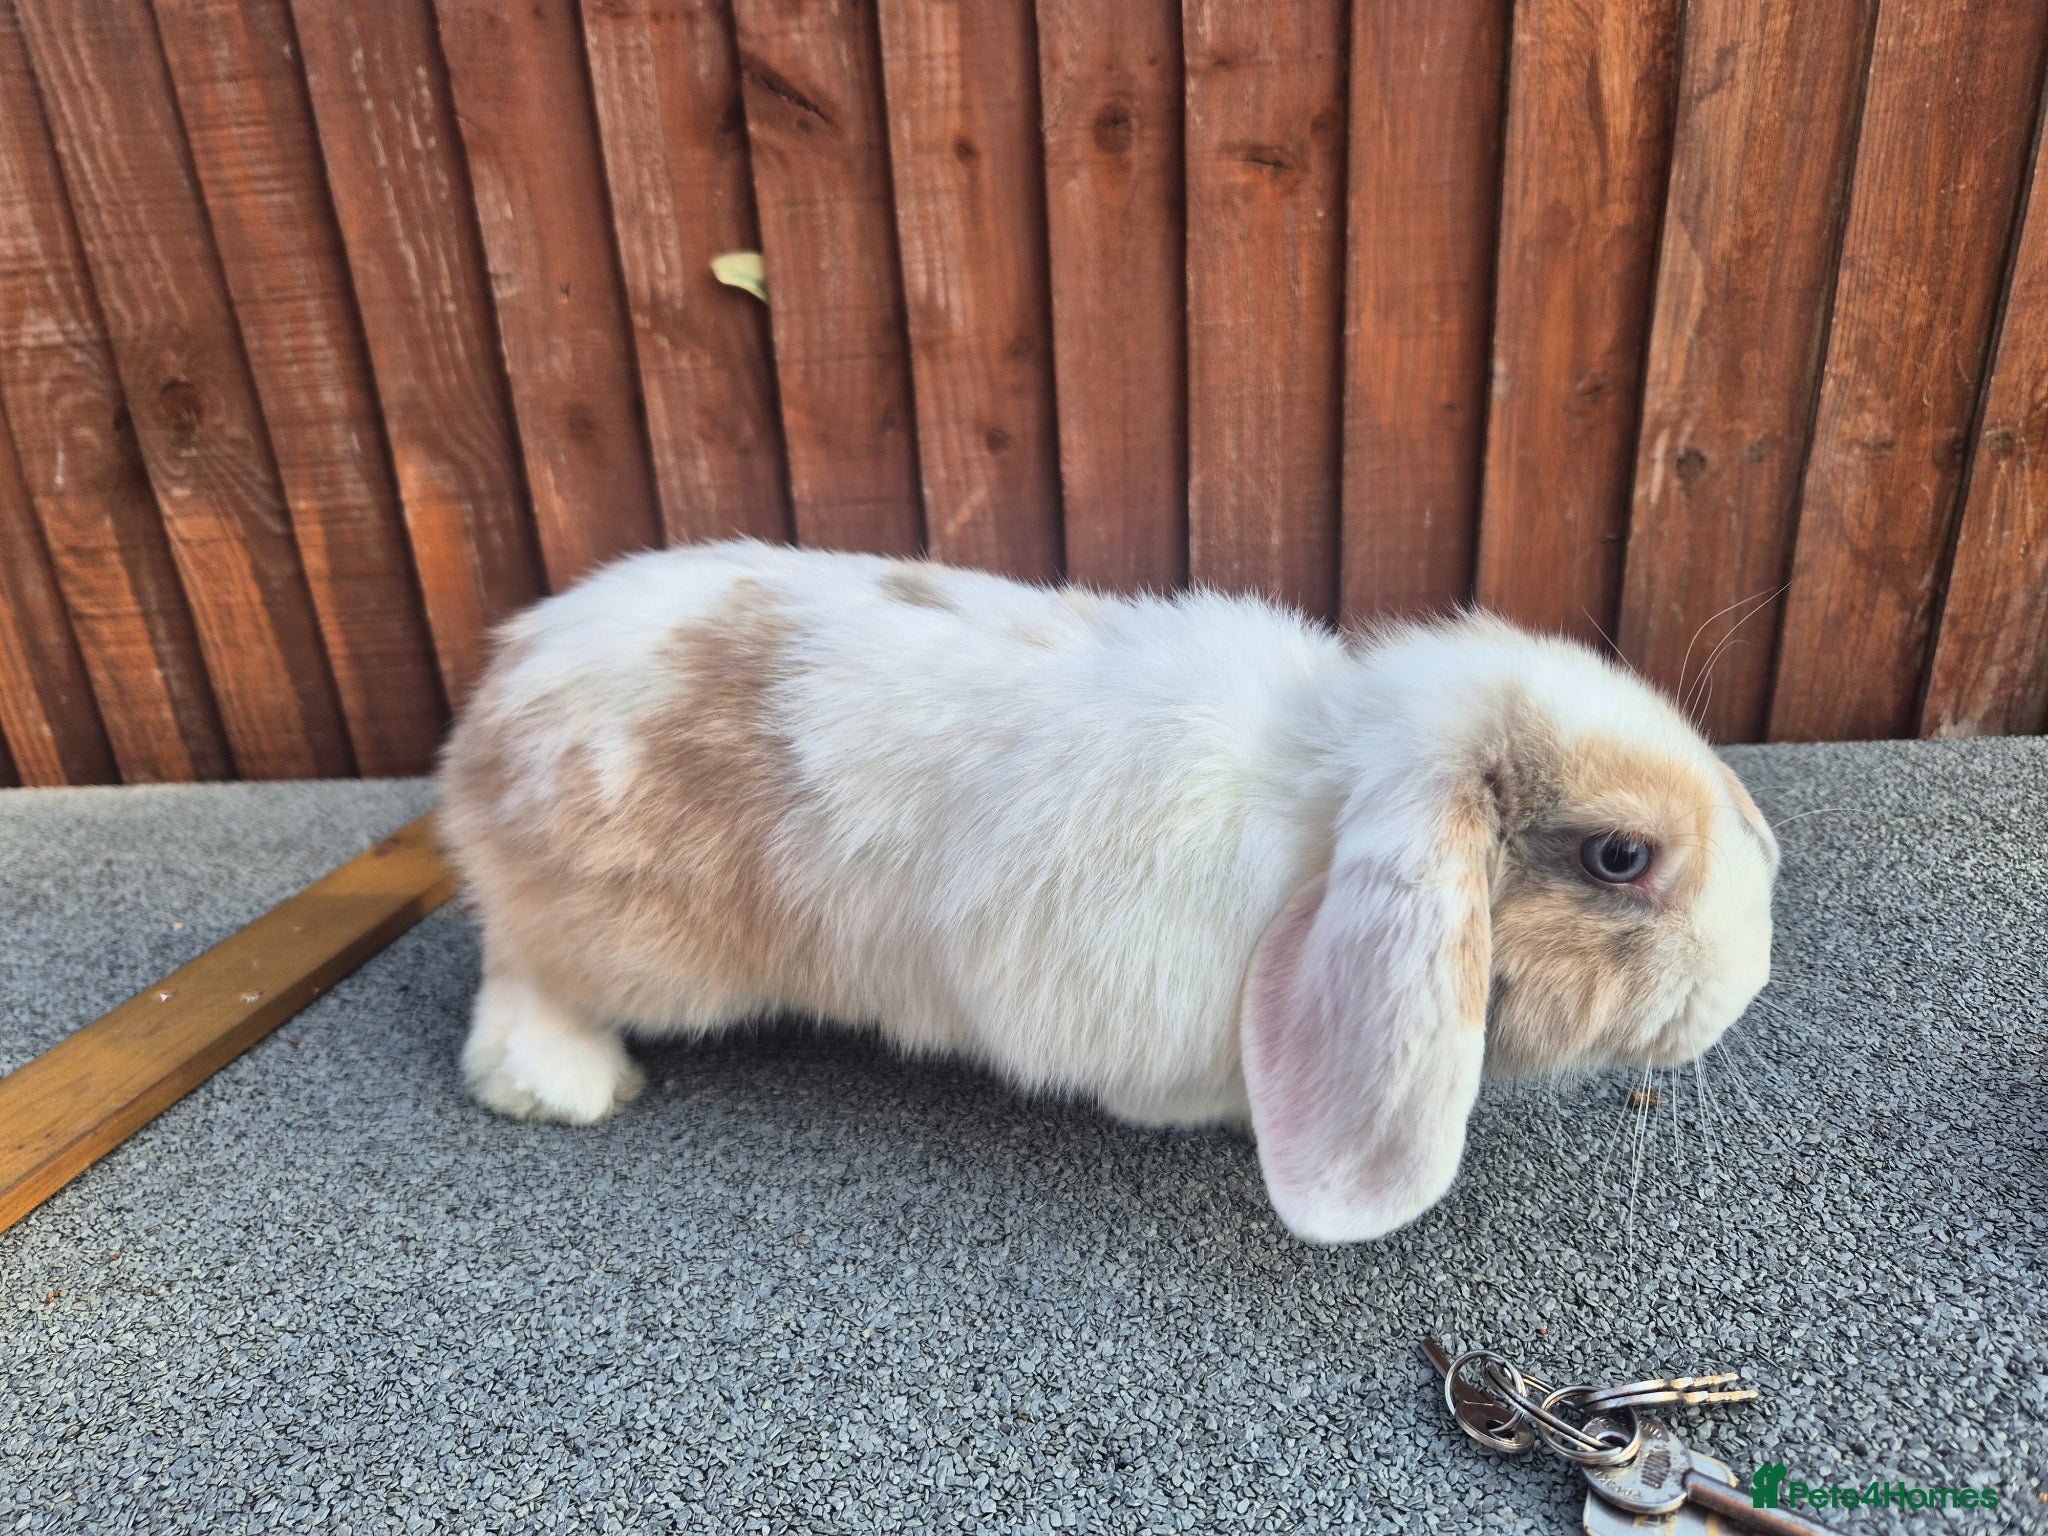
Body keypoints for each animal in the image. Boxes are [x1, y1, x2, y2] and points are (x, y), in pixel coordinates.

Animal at [438, 539, 1778, 1243]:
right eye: (1618, 858)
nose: (1754, 974)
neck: (1321, 819)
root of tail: (490, 709)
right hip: (632, 951)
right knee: (515, 964)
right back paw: (561, 1081)